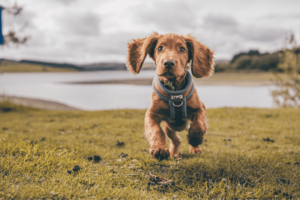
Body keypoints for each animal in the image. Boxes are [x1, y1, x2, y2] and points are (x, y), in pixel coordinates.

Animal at [126, 32, 213, 161]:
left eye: (182, 49)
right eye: (159, 48)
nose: (168, 63)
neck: (174, 91)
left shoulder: (200, 108)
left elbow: (199, 125)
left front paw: (194, 140)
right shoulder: (151, 114)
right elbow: (156, 131)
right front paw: (159, 148)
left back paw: (195, 148)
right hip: (169, 128)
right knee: (176, 140)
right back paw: (174, 154)